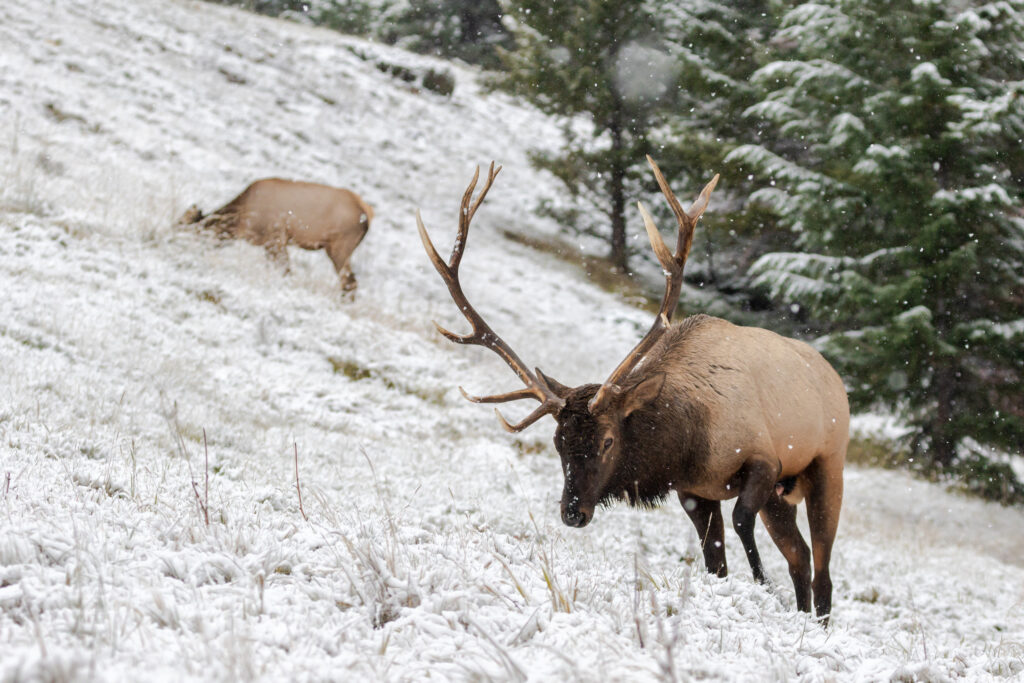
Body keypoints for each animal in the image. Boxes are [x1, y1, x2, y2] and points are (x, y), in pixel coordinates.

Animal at [178, 179, 374, 291]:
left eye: (184, 228)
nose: (174, 241)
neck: (239, 221)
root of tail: (368, 213)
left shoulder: (276, 238)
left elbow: (285, 270)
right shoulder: (269, 243)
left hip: (339, 248)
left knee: (349, 282)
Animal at [417, 159, 849, 624]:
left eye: (608, 440)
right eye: (557, 442)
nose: (572, 513)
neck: (688, 441)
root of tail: (835, 378)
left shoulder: (763, 461)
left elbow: (740, 523)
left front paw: (762, 586)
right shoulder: (694, 491)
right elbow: (715, 560)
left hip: (826, 466)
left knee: (821, 568)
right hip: (783, 494)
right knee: (800, 556)